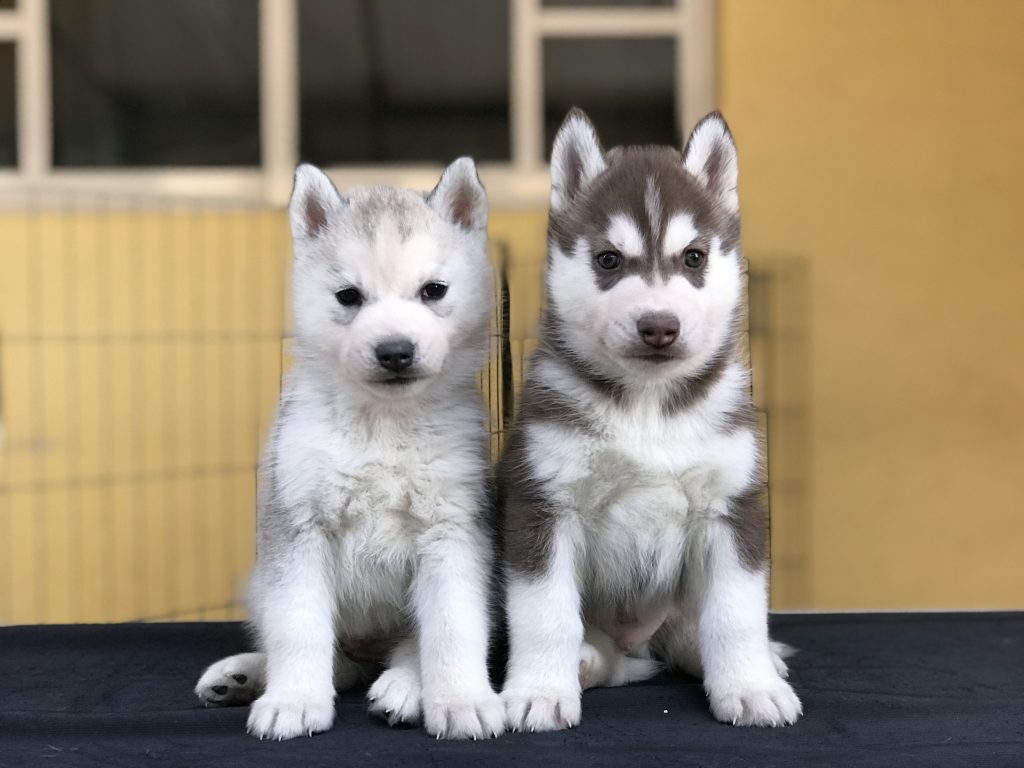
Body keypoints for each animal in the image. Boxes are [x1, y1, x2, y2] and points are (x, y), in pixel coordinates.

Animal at [195, 159, 503, 741]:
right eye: (348, 296)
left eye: (433, 290)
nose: (395, 351)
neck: (382, 423)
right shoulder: (297, 526)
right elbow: (299, 628)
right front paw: (293, 700)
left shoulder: (451, 530)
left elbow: (451, 629)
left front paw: (461, 700)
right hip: (261, 585)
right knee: (336, 658)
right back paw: (244, 676)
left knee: (404, 649)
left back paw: (403, 686)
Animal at [495, 109, 798, 733]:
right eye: (609, 259)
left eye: (694, 257)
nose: (659, 325)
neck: (648, 408)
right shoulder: (542, 503)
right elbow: (545, 612)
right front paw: (538, 691)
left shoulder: (732, 505)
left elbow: (735, 612)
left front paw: (750, 686)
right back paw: (585, 663)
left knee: (686, 633)